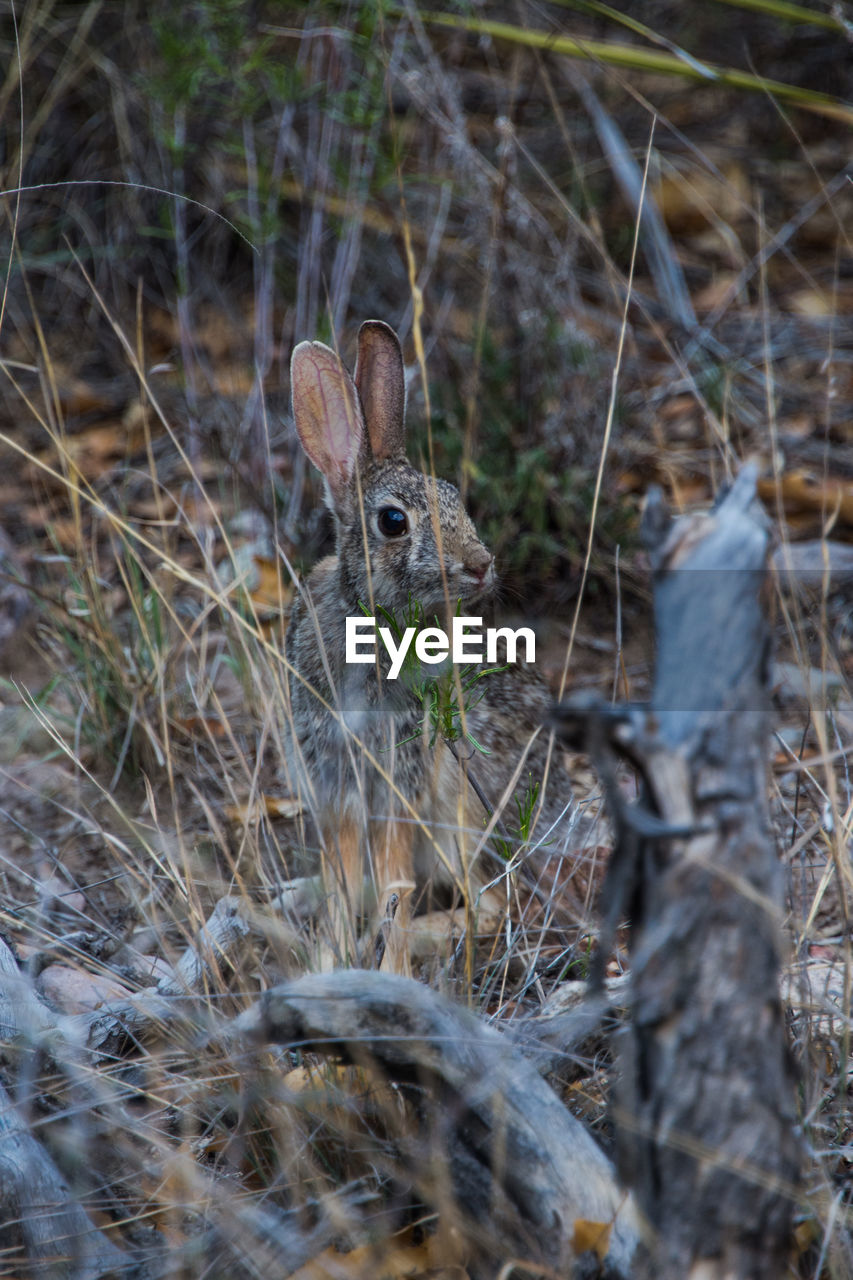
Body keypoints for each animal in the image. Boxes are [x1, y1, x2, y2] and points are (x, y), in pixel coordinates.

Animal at [289, 320, 581, 967]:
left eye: (454, 497)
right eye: (394, 522)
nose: (480, 564)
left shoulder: (404, 776)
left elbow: (393, 880)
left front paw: (384, 963)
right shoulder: (337, 782)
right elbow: (343, 877)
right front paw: (326, 961)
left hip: (461, 813)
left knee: (494, 906)